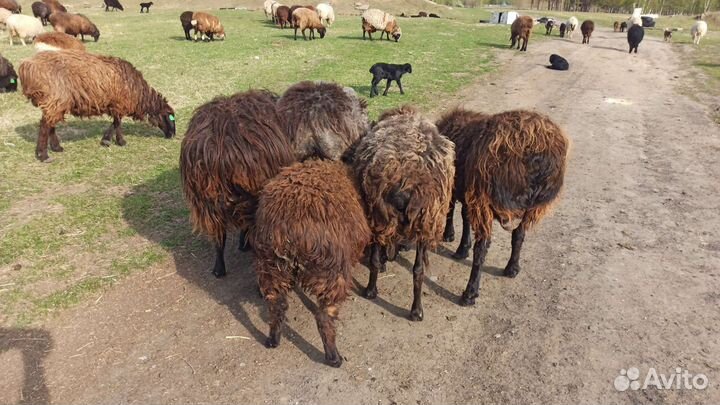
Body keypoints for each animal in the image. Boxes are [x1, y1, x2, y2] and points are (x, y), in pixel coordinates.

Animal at [18, 50, 176, 162]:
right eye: (170, 117)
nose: (172, 135)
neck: (139, 94)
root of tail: (26, 66)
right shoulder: (119, 103)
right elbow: (118, 123)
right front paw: (121, 141)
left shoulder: (114, 104)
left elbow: (115, 122)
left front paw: (106, 140)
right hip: (56, 98)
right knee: (45, 126)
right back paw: (43, 155)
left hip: (55, 102)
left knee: (50, 124)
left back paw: (56, 147)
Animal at [253, 160, 370, 367]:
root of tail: (288, 231)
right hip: (331, 272)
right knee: (324, 316)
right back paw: (334, 357)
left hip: (270, 265)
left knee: (276, 305)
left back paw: (273, 340)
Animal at [347, 106, 454, 321]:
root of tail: (405, 180)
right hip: (422, 220)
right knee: (418, 270)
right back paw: (414, 310)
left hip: (381, 215)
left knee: (382, 260)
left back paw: (373, 291)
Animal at [437, 108, 568, 305]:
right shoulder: (468, 191)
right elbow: (464, 215)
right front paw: (461, 246)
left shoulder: (464, 190)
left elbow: (454, 211)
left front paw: (453, 239)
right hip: (530, 206)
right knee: (519, 235)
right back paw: (512, 267)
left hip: (485, 197)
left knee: (482, 246)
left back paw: (470, 293)